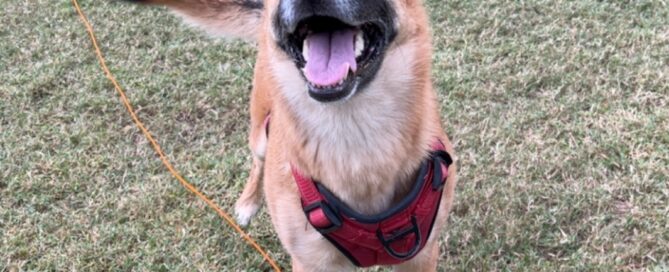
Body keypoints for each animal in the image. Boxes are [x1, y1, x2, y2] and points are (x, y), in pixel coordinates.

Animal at [121, 0, 454, 270]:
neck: (354, 134)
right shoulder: (311, 262)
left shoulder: (422, 255)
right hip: (260, 131)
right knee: (258, 161)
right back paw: (247, 203)